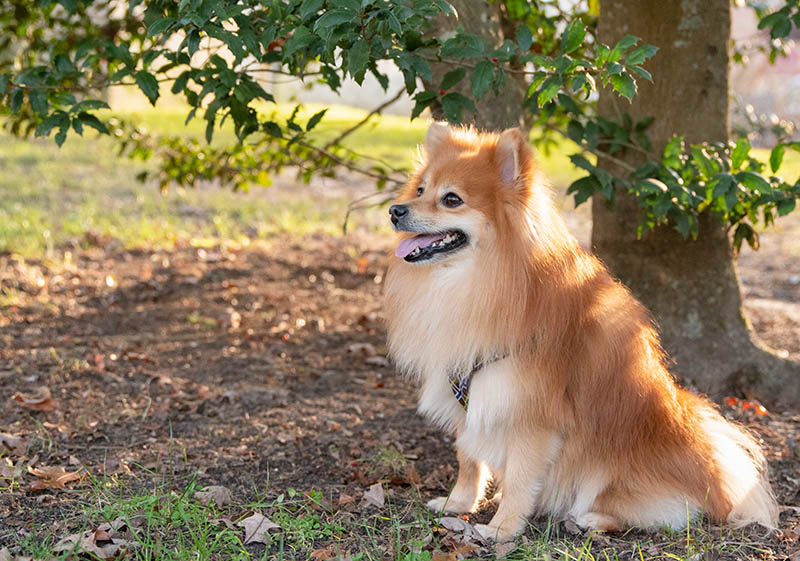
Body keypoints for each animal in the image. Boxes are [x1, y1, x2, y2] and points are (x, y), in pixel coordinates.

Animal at [384, 123, 780, 544]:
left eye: (452, 199)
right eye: (420, 190)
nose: (396, 210)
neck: (478, 280)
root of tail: (718, 486)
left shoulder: (531, 416)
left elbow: (521, 478)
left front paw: (502, 529)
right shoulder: (469, 394)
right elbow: (468, 459)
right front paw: (458, 503)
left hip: (611, 471)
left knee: (662, 514)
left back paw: (590, 519)